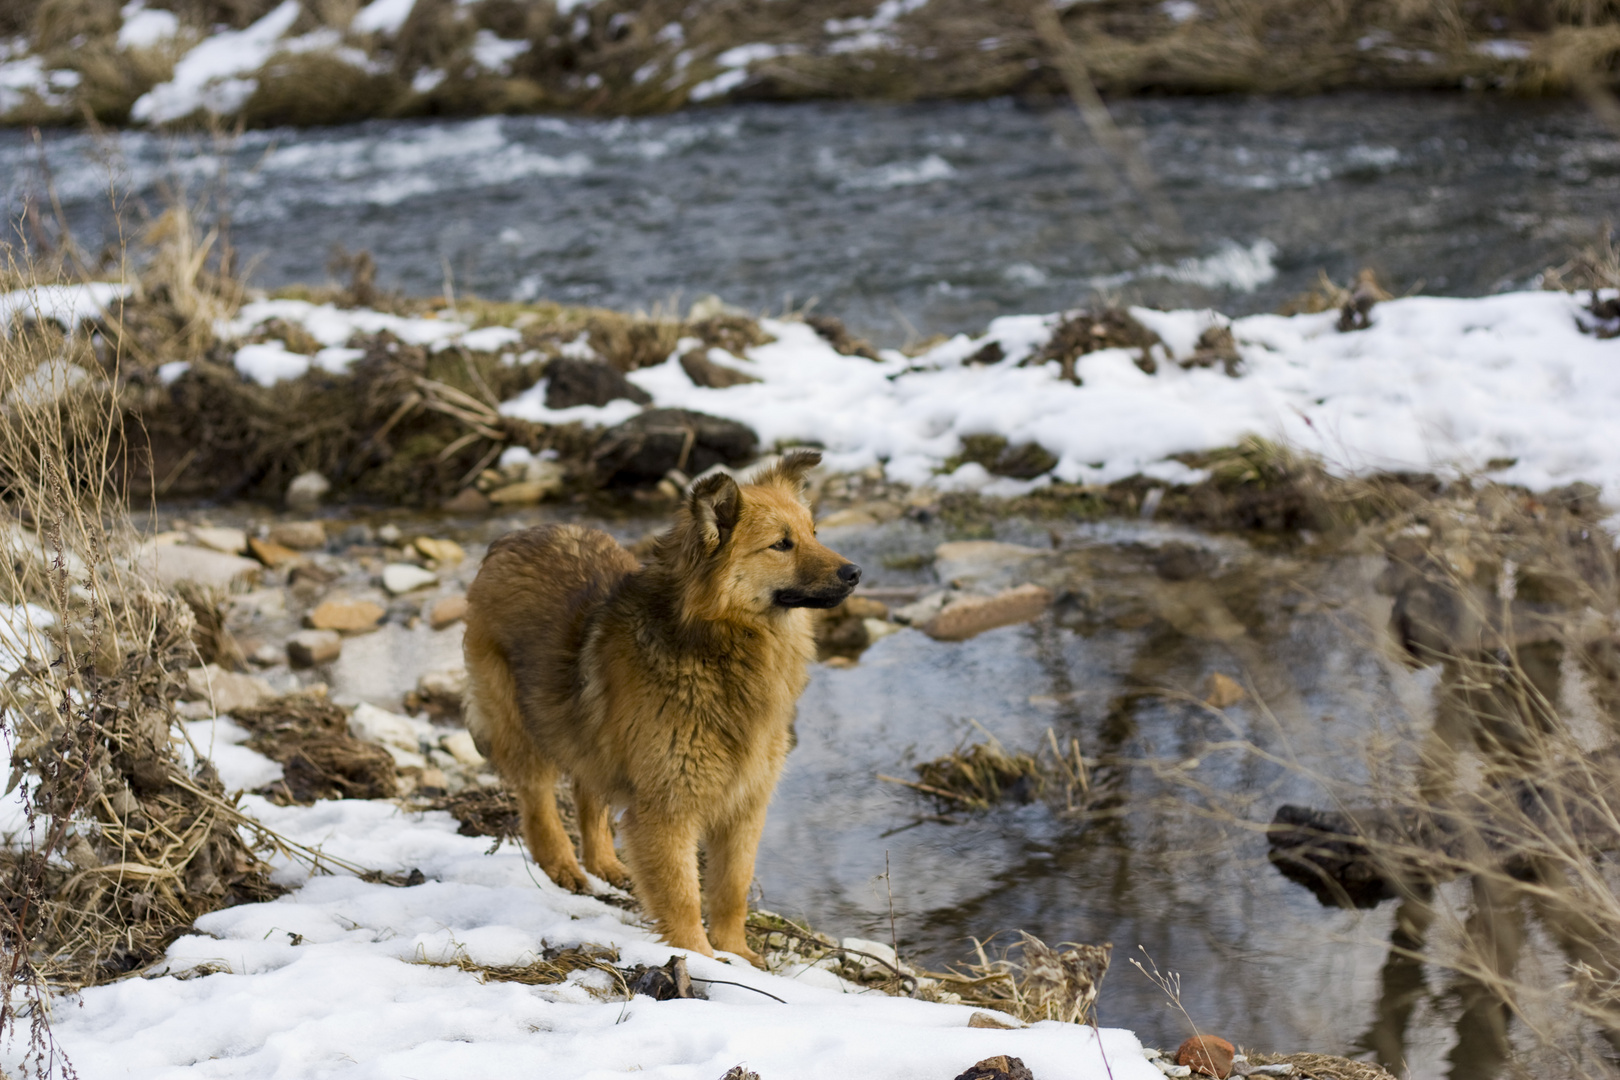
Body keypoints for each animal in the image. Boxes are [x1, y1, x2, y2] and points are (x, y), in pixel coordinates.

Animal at [460, 446, 861, 965]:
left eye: (814, 533)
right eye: (781, 545)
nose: (855, 573)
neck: (718, 646)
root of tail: (511, 538)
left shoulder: (746, 804)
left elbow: (732, 888)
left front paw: (740, 956)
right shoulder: (667, 807)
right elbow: (682, 895)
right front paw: (702, 959)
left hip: (586, 733)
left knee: (588, 790)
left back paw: (604, 863)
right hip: (519, 721)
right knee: (537, 801)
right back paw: (563, 866)